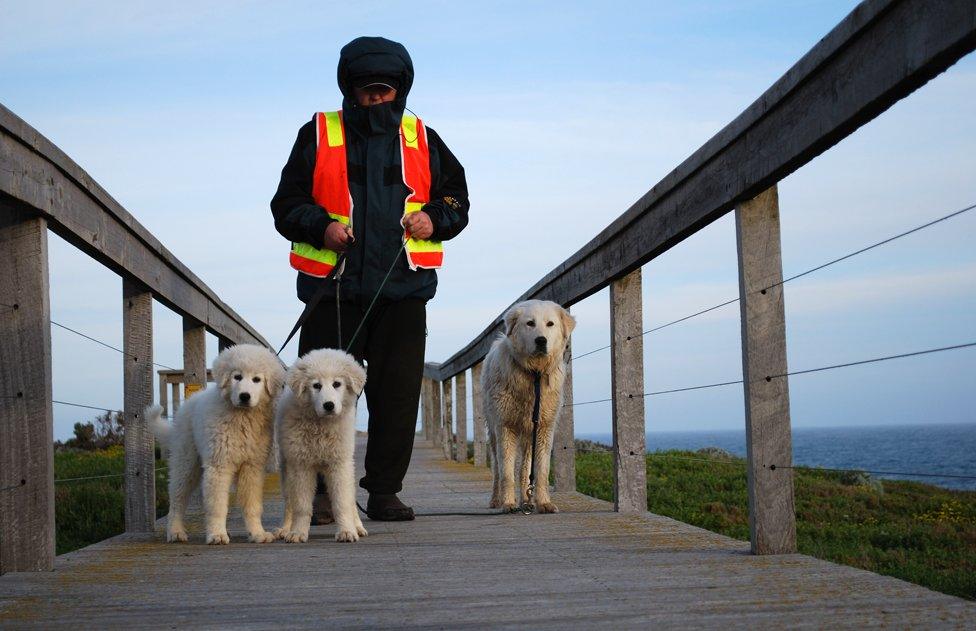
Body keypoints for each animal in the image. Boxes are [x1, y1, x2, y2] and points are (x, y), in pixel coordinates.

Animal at [145, 344, 284, 544]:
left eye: (257, 379)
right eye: (237, 377)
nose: (244, 396)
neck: (242, 418)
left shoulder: (251, 467)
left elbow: (252, 504)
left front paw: (257, 533)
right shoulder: (219, 465)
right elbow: (217, 505)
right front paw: (217, 534)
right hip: (186, 462)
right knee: (177, 499)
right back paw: (175, 531)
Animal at [272, 348, 368, 544]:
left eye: (337, 384)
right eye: (316, 386)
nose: (329, 405)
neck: (321, 426)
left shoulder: (339, 464)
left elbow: (342, 502)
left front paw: (347, 531)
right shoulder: (300, 466)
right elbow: (301, 506)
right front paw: (297, 532)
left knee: (350, 498)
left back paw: (358, 526)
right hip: (287, 468)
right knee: (289, 502)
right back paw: (285, 529)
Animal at [484, 300, 576, 512]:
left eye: (550, 324)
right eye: (530, 323)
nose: (541, 341)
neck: (534, 373)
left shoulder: (543, 428)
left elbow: (541, 471)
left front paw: (543, 502)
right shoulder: (505, 427)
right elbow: (506, 472)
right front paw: (508, 503)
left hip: (528, 434)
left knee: (525, 470)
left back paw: (527, 500)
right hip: (493, 431)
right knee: (497, 469)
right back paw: (496, 500)